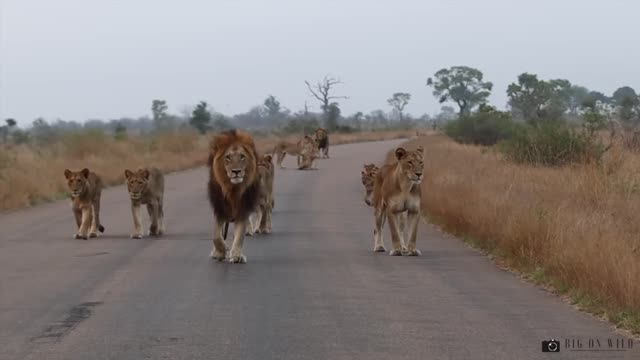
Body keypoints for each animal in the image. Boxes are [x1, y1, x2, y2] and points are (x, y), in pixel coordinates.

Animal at [208, 128, 262, 262]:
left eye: (242, 157)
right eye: (227, 157)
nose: (236, 171)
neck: (233, 189)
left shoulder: (243, 209)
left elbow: (240, 235)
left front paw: (237, 255)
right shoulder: (220, 208)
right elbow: (216, 235)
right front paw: (220, 251)